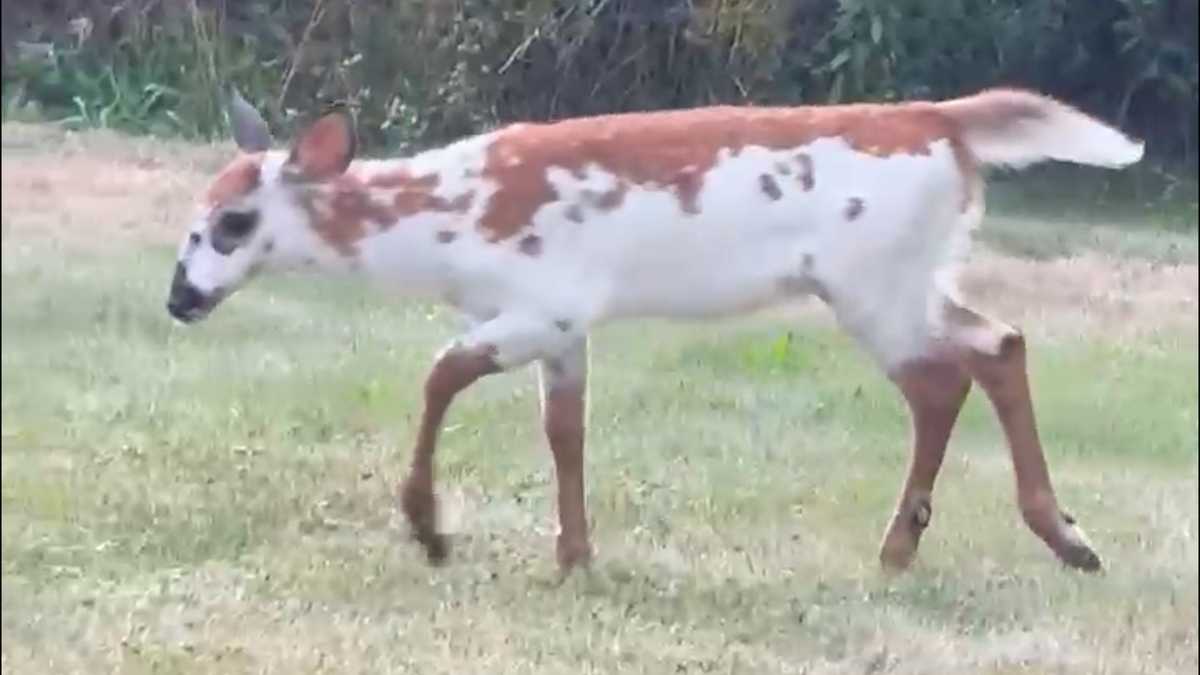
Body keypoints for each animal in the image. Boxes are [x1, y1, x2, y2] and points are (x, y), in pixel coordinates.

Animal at [167, 87, 1143, 575]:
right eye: (194, 214)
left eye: (234, 224)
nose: (180, 298)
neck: (446, 225)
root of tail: (944, 124)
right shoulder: (566, 324)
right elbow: (565, 430)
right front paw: (575, 555)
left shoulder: (545, 300)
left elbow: (439, 371)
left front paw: (430, 529)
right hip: (911, 274)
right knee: (1000, 344)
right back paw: (1062, 537)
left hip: (871, 281)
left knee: (944, 379)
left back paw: (908, 546)